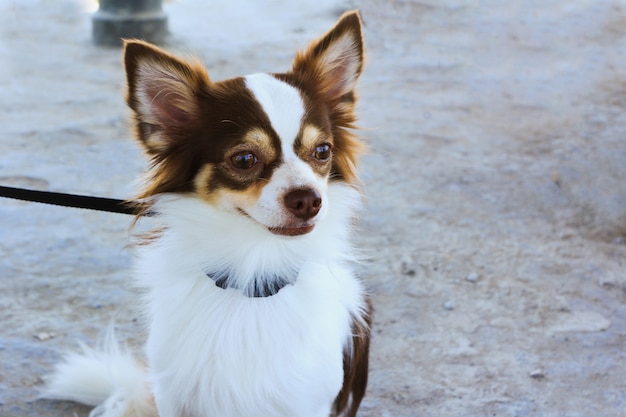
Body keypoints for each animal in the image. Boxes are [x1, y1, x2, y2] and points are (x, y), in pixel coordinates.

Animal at [42, 9, 370, 416]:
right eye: (244, 159)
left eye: (322, 151)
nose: (309, 200)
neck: (253, 273)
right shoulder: (174, 394)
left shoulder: (308, 401)